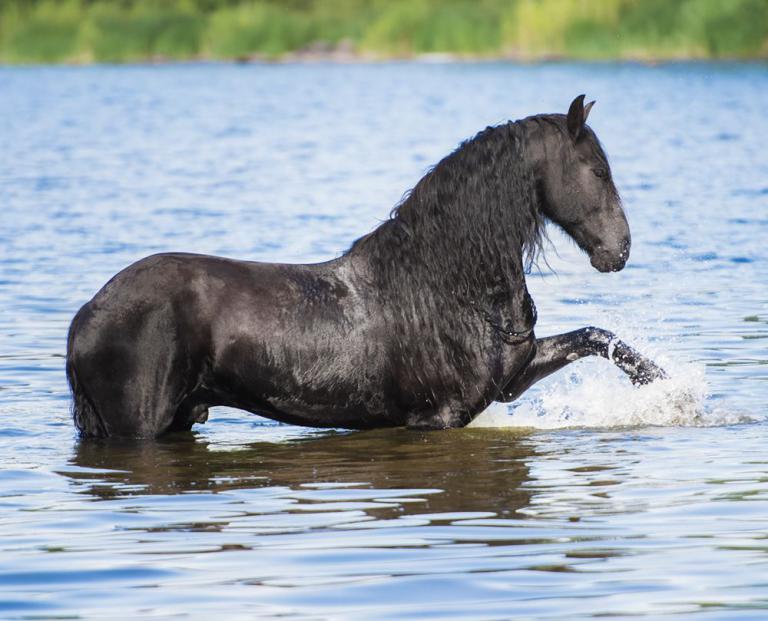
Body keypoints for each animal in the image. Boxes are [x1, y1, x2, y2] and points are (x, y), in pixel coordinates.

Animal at [66, 95, 666, 439]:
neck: (449, 287)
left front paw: (662, 385)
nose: (619, 249)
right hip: (139, 428)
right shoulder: (435, 419)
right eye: (596, 170)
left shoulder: (510, 382)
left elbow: (596, 336)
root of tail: (86, 315)